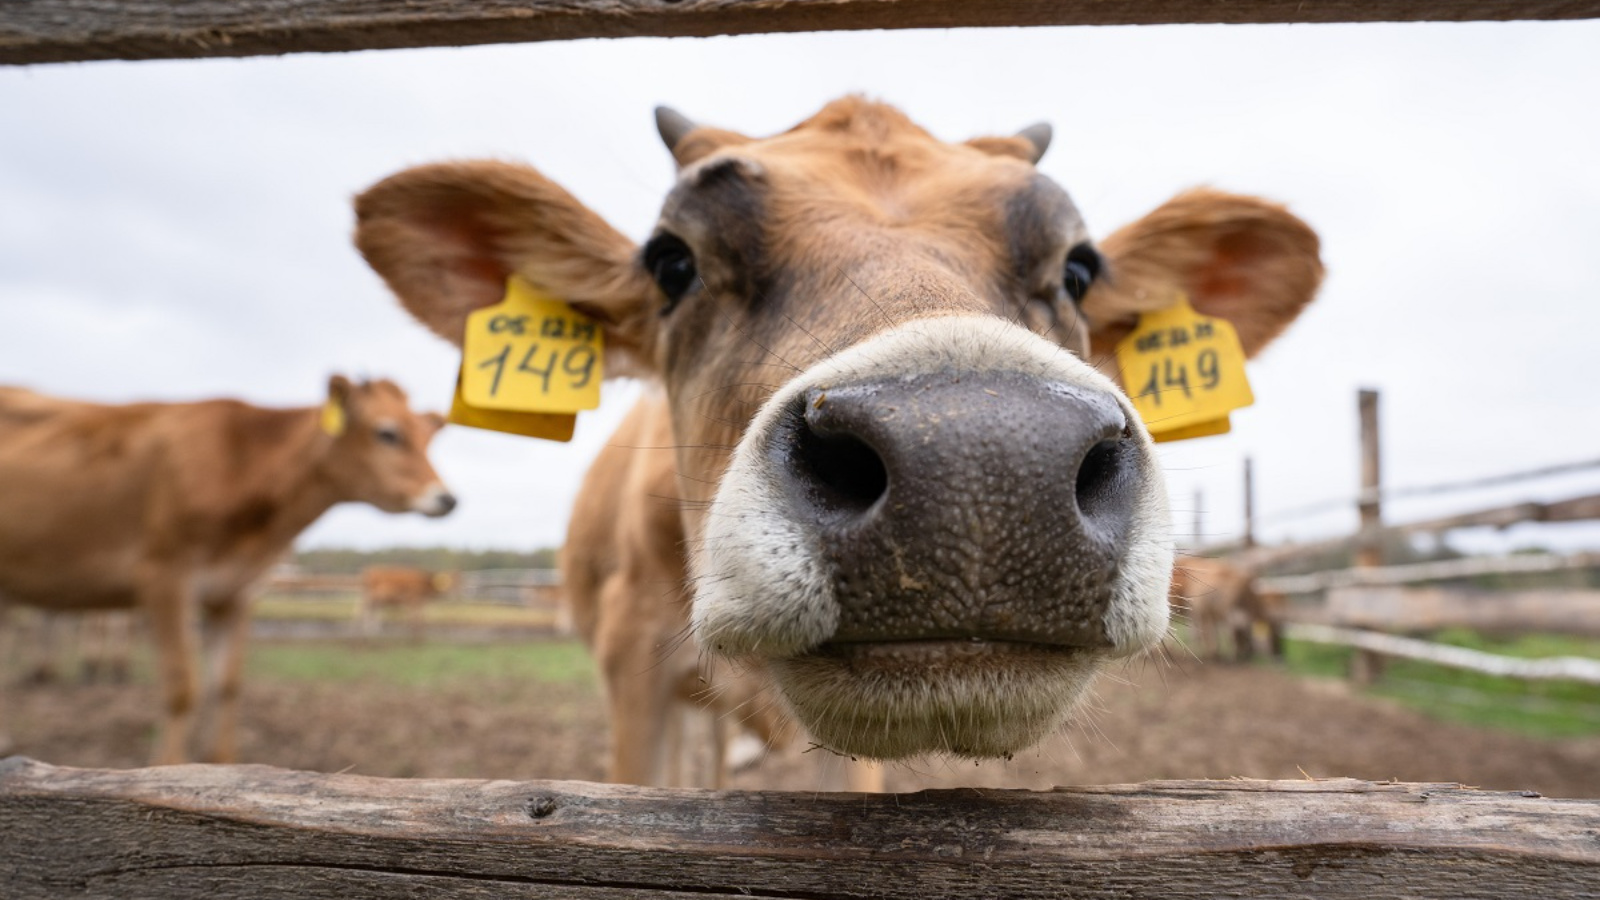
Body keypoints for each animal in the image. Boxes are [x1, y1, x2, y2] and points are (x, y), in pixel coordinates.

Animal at [0, 374, 457, 759]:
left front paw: (219, 762)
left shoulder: (235, 593)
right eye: (387, 433)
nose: (447, 498)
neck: (239, 461)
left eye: (428, 437)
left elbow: (226, 685)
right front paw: (167, 768)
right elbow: (182, 688)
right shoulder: (165, 578)